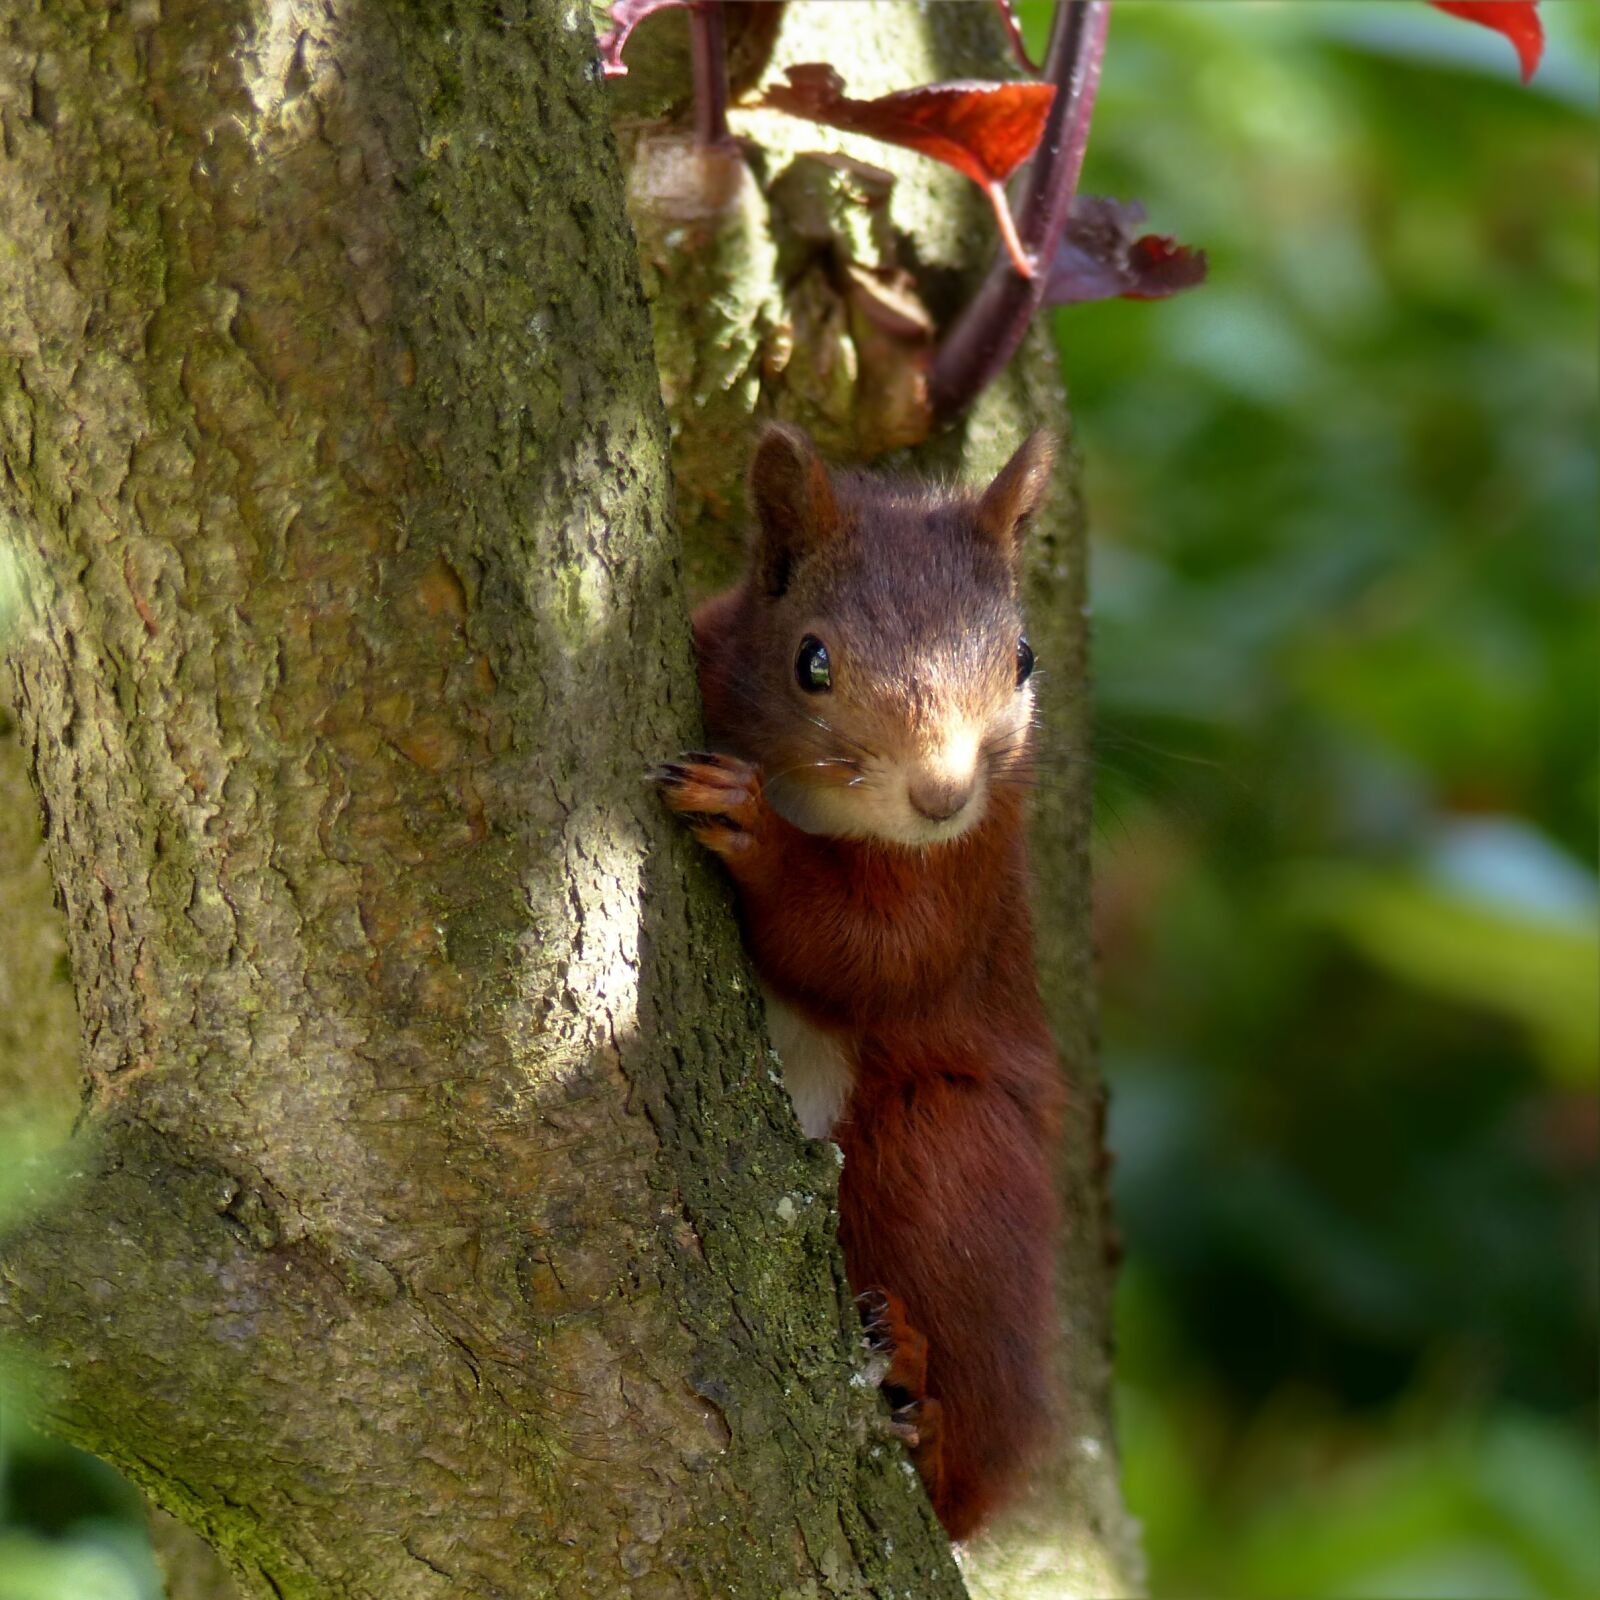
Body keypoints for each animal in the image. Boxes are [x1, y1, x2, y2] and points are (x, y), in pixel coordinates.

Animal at [654, 424, 1061, 1541]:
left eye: (1022, 657)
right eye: (812, 661)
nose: (941, 793)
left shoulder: (977, 864)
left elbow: (879, 949)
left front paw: (756, 832)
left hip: (948, 1157)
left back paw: (924, 1407)